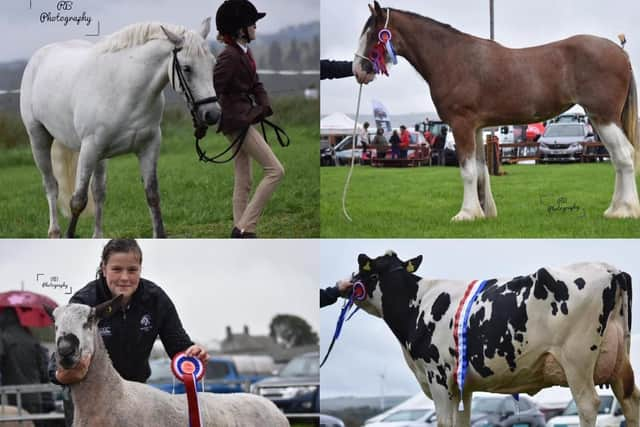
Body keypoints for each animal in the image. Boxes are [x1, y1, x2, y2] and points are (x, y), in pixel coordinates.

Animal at [20, 18, 220, 239]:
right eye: (186, 68)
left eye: (213, 64)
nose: (212, 114)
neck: (126, 90)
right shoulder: (89, 149)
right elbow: (78, 201)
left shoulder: (148, 147)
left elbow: (152, 195)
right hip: (39, 139)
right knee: (51, 186)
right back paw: (54, 232)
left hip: (99, 157)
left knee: (98, 192)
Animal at [352, 3, 636, 222]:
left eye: (373, 34)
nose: (358, 70)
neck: (451, 58)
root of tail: (620, 52)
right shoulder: (476, 128)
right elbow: (479, 170)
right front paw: (482, 212)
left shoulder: (462, 124)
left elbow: (467, 171)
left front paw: (465, 214)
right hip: (599, 119)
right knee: (617, 159)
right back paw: (614, 209)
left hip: (604, 117)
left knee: (624, 156)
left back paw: (626, 211)